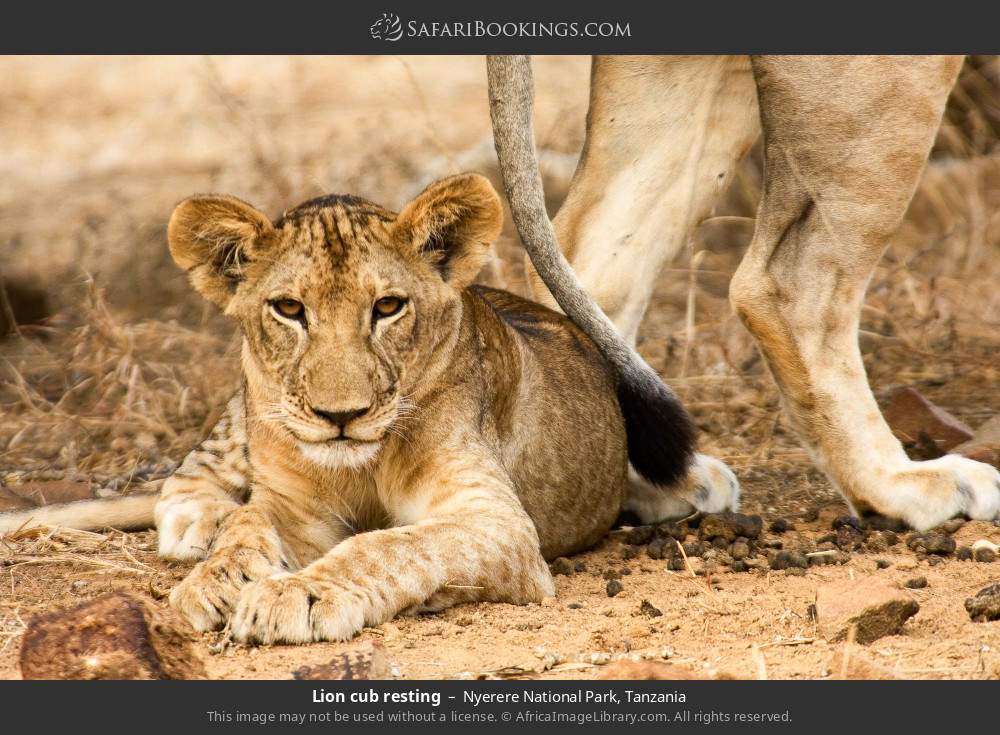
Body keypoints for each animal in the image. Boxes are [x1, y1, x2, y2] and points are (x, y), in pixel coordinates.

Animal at [0, 174, 736, 643]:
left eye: (387, 307)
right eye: (288, 308)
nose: (340, 416)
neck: (362, 464)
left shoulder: (497, 524)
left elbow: (389, 544)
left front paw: (296, 593)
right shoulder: (291, 503)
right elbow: (250, 523)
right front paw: (219, 579)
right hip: (248, 409)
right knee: (196, 475)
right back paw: (198, 523)